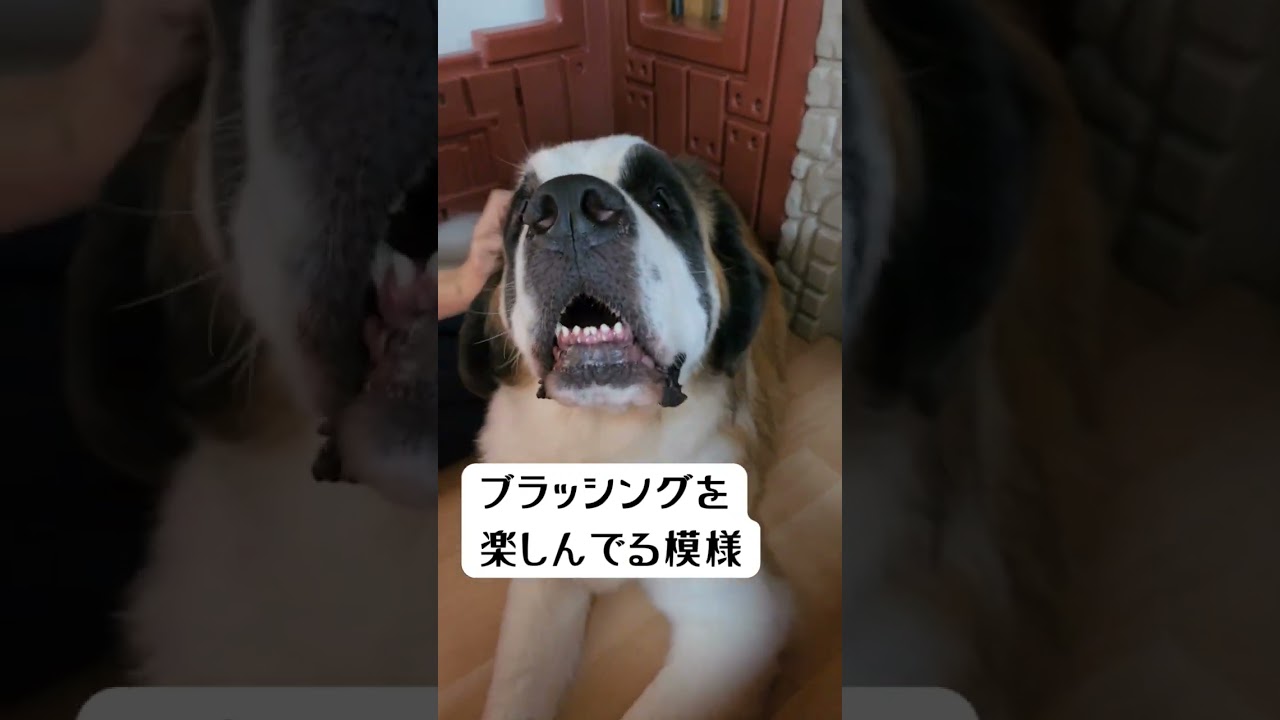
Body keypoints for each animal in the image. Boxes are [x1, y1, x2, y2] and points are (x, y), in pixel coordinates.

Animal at [455, 134, 793, 720]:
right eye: (521, 212)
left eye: (660, 200)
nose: (566, 207)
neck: (602, 442)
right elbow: (519, 678)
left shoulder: (739, 623)